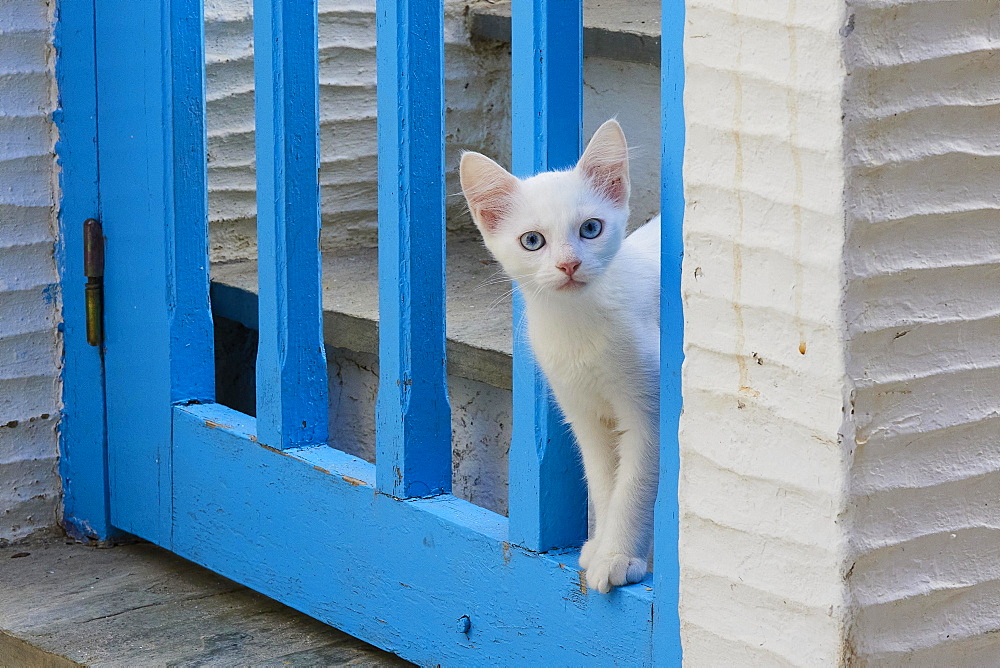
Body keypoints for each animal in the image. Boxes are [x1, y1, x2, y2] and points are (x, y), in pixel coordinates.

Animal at [458, 117, 660, 592]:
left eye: (590, 229)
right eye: (532, 240)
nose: (569, 265)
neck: (577, 325)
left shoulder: (650, 412)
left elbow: (635, 485)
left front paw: (620, 557)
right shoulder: (585, 415)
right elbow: (604, 482)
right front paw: (600, 546)